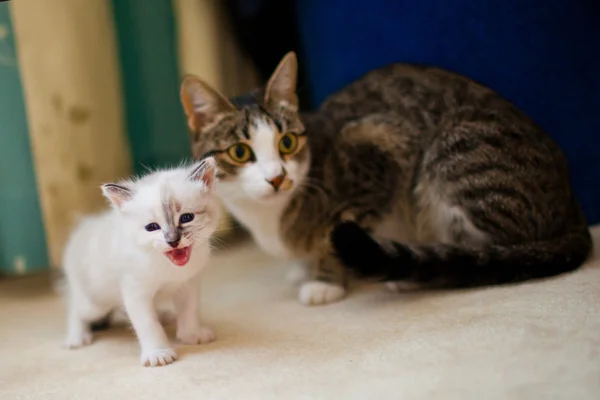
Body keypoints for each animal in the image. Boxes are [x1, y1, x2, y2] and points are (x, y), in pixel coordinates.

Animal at [62, 155, 220, 366]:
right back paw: (76, 337)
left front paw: (191, 334)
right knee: (75, 309)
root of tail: (82, 228)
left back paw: (164, 315)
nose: (173, 241)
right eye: (152, 227)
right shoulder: (136, 293)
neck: (168, 267)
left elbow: (189, 311)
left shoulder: (188, 284)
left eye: (187, 218)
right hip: (94, 303)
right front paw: (158, 353)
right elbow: (148, 324)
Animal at [178, 51, 592, 304]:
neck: (269, 217)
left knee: (492, 253)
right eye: (240, 152)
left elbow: (335, 234)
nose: (277, 178)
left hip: (455, 154)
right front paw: (304, 268)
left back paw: (417, 269)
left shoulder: (377, 147)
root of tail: (572, 201)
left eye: (287, 142)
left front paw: (325, 281)